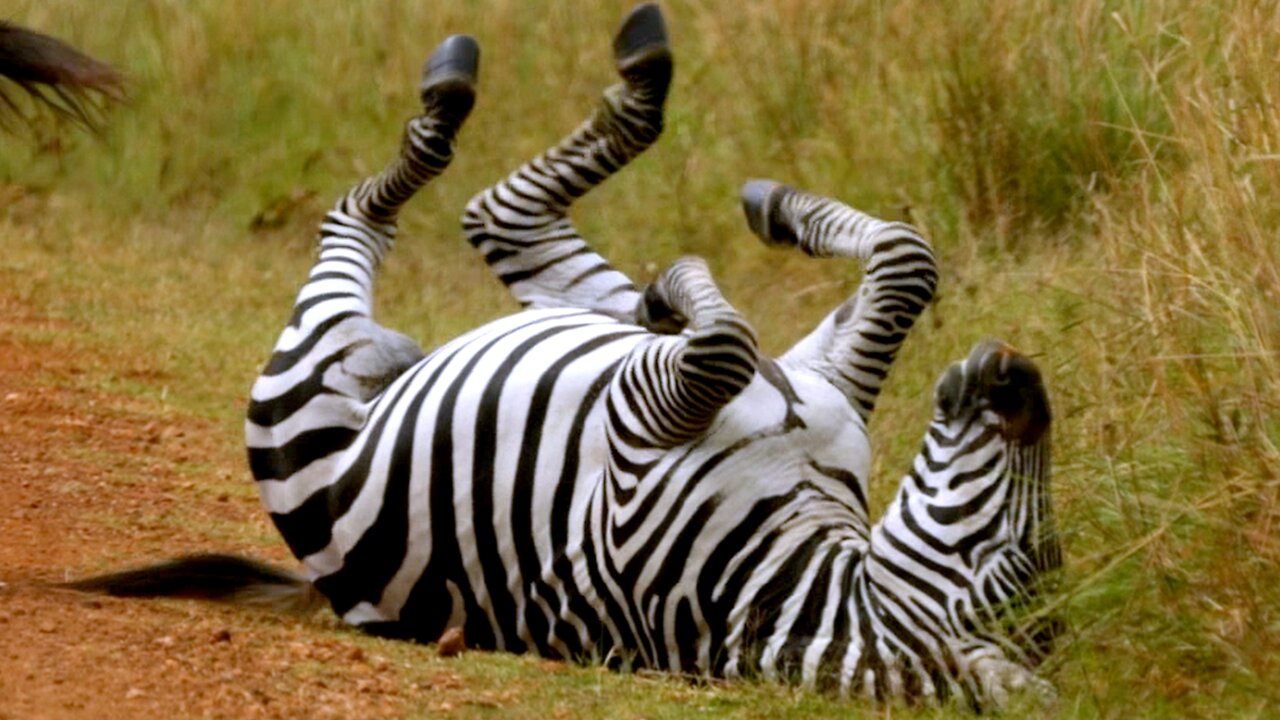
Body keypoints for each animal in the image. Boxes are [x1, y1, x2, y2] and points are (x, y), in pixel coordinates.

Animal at [72, 4, 1070, 712]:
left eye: (1007, 557)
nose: (1016, 373)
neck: (798, 554)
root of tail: (328, 596)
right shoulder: (828, 389)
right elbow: (906, 260)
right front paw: (762, 230)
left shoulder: (639, 440)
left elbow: (724, 345)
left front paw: (687, 278)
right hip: (553, 309)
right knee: (505, 222)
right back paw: (671, 149)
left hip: (309, 389)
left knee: (374, 218)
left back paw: (463, 105)